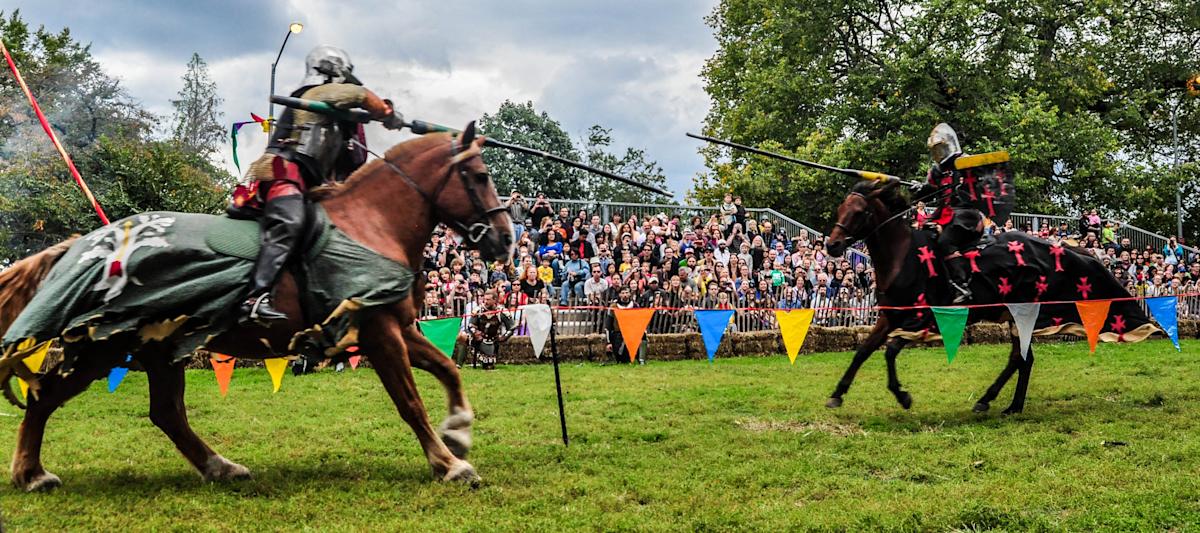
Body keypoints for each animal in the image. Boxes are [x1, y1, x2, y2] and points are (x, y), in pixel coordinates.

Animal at [0, 122, 514, 491]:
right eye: (482, 177)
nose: (507, 239)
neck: (370, 224)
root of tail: (81, 246)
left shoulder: (399, 327)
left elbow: (449, 369)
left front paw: (459, 432)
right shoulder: (379, 332)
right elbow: (409, 402)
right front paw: (448, 463)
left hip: (159, 349)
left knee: (167, 413)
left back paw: (221, 467)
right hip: (102, 349)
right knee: (45, 397)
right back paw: (31, 474)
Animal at [822, 179, 1157, 414]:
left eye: (860, 212)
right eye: (840, 209)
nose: (832, 246)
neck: (903, 257)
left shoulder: (924, 318)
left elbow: (889, 350)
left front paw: (903, 396)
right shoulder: (890, 316)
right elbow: (863, 350)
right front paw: (837, 394)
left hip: (1023, 312)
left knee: (1020, 358)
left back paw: (990, 400)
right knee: (1023, 358)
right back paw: (1009, 405)